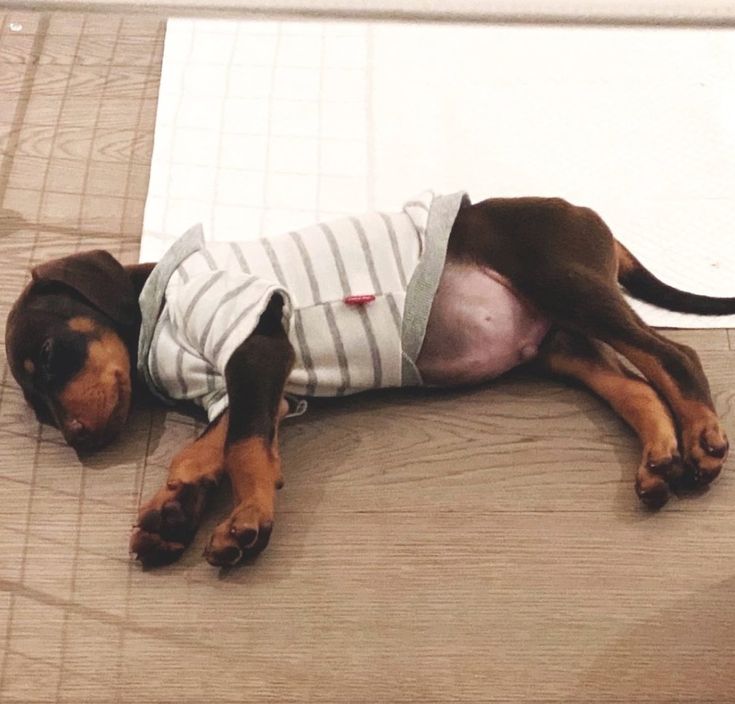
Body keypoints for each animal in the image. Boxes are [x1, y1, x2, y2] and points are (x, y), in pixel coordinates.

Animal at [5, 192, 735, 568]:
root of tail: (590, 217)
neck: (156, 304)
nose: (79, 439)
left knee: (674, 358)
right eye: (38, 408)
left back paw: (701, 438)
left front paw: (246, 519)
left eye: (50, 351)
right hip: (558, 344)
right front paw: (175, 509)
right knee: (638, 386)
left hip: (562, 281)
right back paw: (659, 459)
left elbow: (242, 447)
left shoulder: (256, 342)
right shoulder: (258, 387)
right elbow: (215, 446)